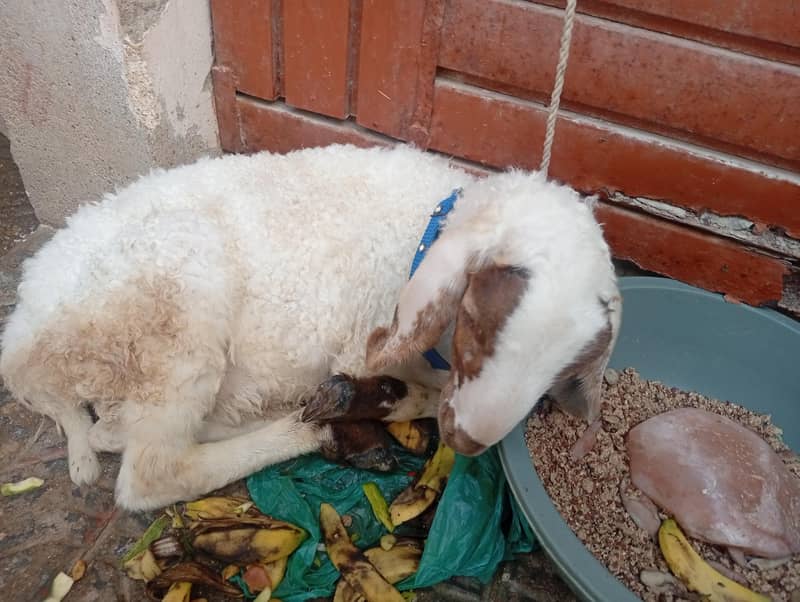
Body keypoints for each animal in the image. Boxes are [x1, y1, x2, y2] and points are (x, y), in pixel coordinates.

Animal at [0, 143, 621, 511]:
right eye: (474, 319)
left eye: (562, 367)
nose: (470, 440)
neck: (425, 229)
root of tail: (22, 344)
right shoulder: (368, 343)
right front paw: (394, 400)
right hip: (176, 300)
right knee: (151, 470)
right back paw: (309, 430)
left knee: (113, 432)